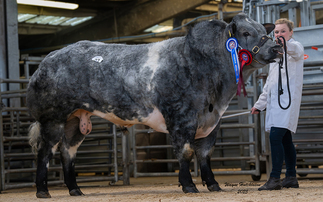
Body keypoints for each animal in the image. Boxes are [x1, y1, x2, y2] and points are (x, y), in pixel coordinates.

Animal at [27, 13, 284, 198]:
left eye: (265, 32)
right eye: (246, 32)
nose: (276, 48)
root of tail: (46, 62)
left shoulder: (212, 122)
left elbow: (204, 154)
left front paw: (213, 184)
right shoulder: (181, 118)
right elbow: (186, 152)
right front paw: (188, 185)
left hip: (76, 119)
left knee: (67, 151)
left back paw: (75, 189)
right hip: (52, 118)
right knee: (45, 151)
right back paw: (43, 191)